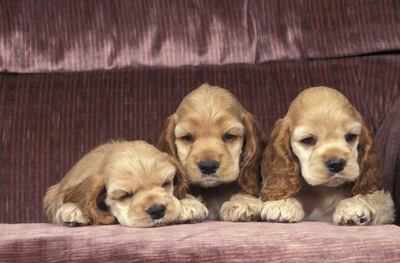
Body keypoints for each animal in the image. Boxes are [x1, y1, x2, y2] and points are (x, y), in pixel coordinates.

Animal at [157, 84, 266, 221]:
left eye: (229, 136)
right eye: (187, 137)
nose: (208, 166)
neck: (213, 190)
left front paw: (242, 202)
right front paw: (186, 203)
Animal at [260, 87, 394, 227]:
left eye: (350, 136)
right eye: (308, 140)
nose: (336, 164)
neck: (323, 190)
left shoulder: (386, 206)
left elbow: (371, 196)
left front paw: (354, 206)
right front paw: (281, 204)